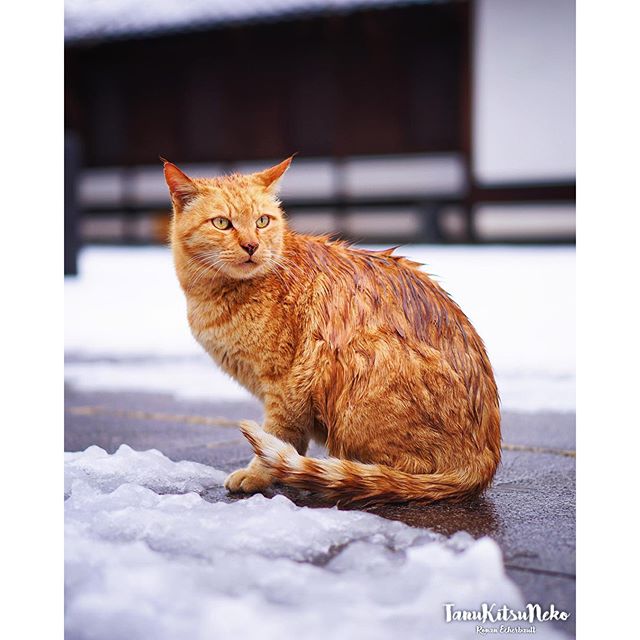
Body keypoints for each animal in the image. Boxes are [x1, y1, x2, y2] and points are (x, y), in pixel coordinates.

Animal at [164, 156, 500, 504]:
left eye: (262, 221)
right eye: (222, 223)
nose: (251, 245)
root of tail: (484, 461)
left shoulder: (286, 382)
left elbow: (277, 435)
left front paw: (260, 474)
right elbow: (291, 443)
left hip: (356, 362)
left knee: (401, 474)